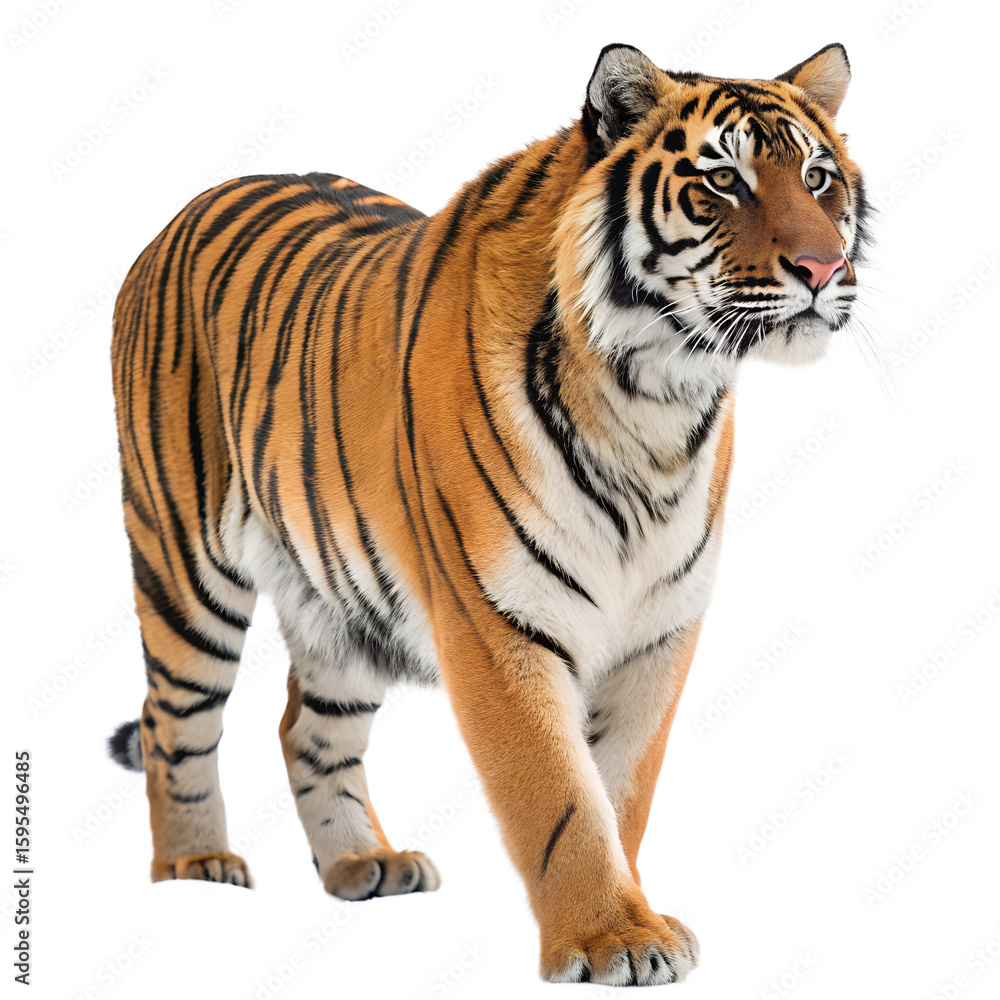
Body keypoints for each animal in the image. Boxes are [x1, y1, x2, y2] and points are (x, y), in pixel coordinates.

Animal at [107, 42, 869, 986]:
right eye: (723, 180)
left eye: (817, 177)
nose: (824, 270)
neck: (657, 398)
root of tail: (183, 210)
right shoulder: (495, 621)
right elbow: (559, 795)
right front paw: (611, 938)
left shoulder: (659, 629)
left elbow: (621, 788)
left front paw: (635, 917)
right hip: (184, 565)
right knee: (171, 720)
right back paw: (194, 867)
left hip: (341, 602)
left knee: (305, 728)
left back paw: (364, 863)